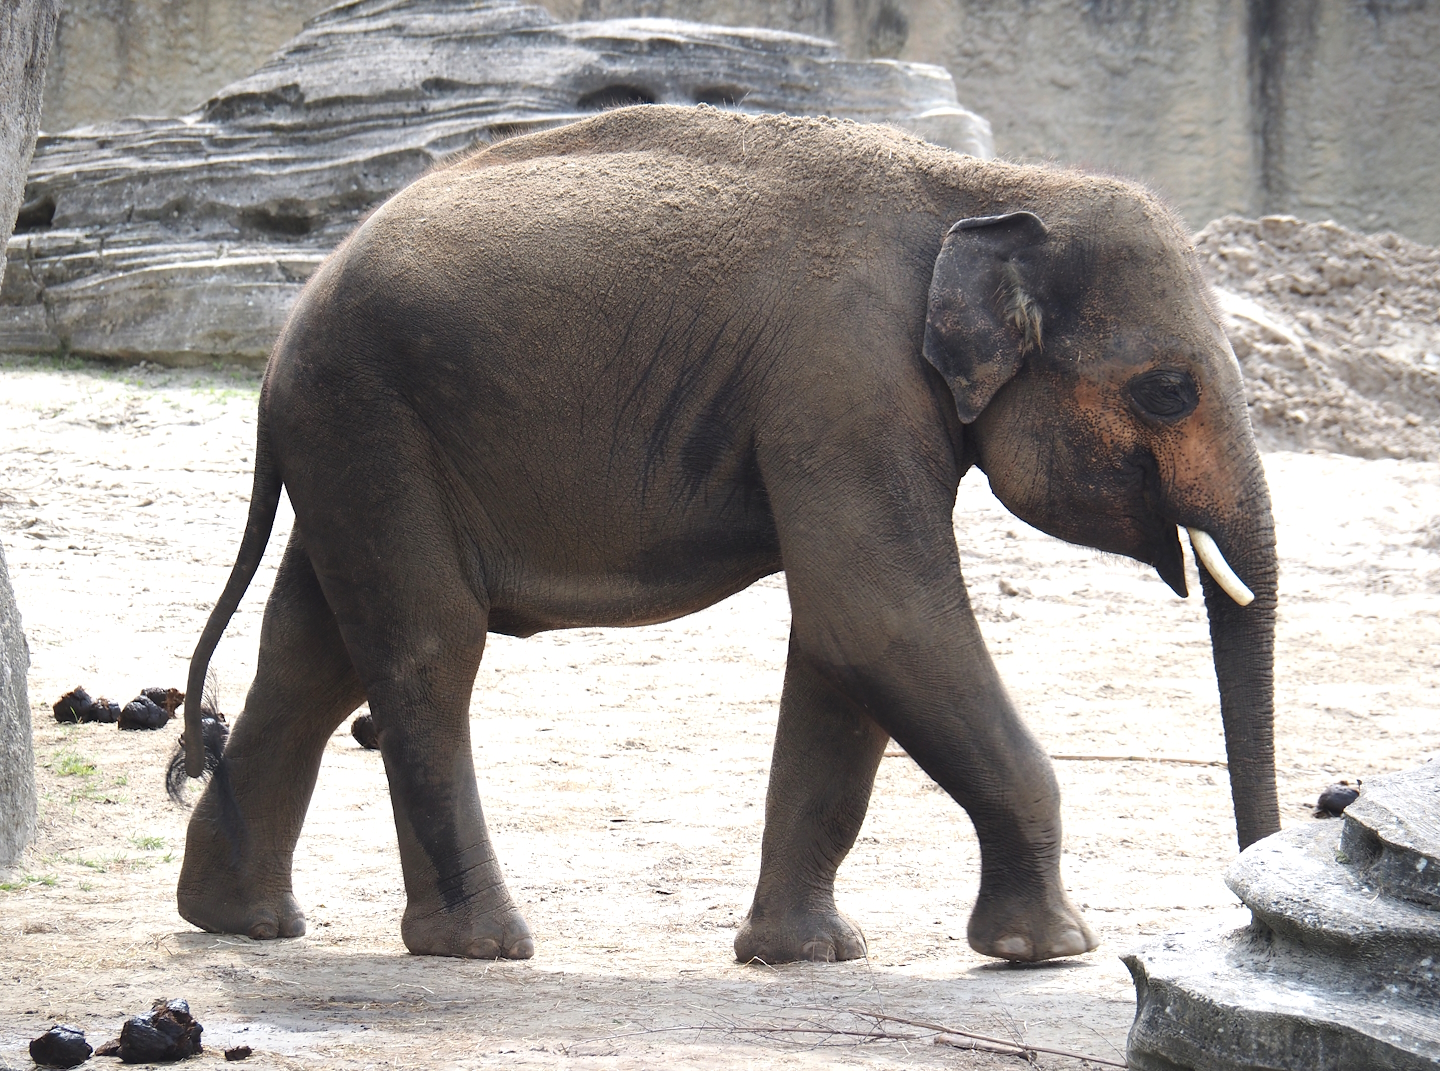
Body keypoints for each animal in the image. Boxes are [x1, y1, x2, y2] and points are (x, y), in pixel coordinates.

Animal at [177, 105, 1279, 965]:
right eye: (1169, 389)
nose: (1254, 910)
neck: (994, 186)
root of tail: (280, 346)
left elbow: (844, 648)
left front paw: (807, 955)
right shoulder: (843, 384)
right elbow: (880, 618)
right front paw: (1048, 950)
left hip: (353, 443)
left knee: (314, 648)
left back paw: (242, 921)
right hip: (371, 419)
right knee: (427, 646)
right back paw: (482, 944)